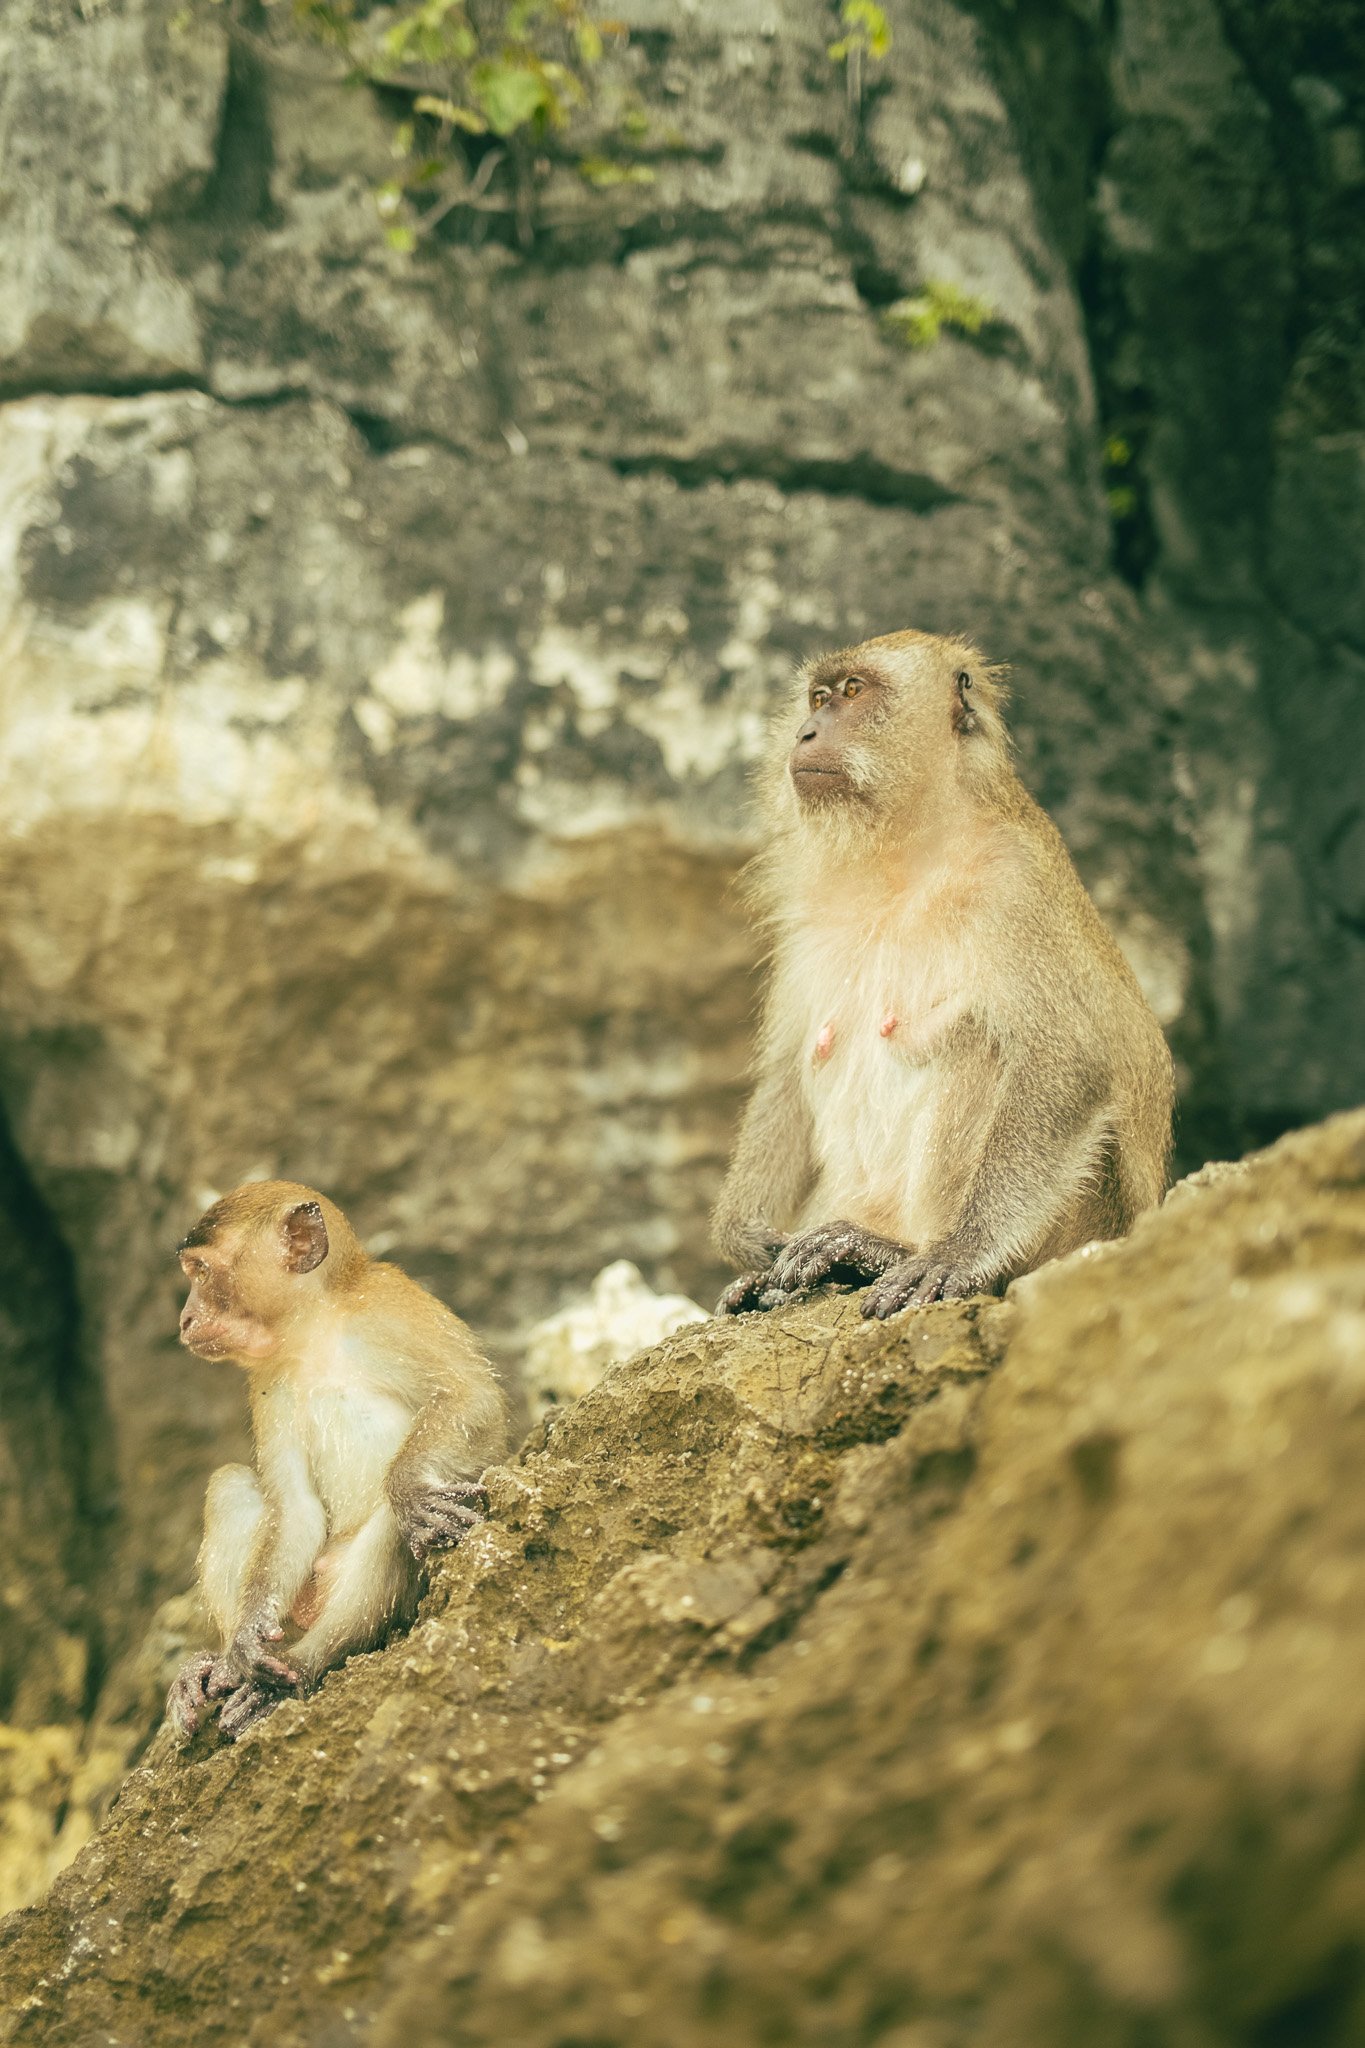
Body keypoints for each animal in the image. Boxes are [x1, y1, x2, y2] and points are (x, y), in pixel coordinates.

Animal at [165, 1181, 508, 1741]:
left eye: (201, 1271)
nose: (186, 1319)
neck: (314, 1329)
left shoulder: (392, 1308)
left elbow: (471, 1398)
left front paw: (410, 1488)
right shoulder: (268, 1382)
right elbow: (293, 1505)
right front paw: (244, 1640)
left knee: (392, 1526)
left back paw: (294, 1672)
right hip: (295, 1601)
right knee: (229, 1484)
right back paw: (226, 1665)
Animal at [712, 628, 1173, 1320]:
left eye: (853, 692)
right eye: (817, 697)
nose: (806, 732)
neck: (903, 857)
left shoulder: (1014, 884)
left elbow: (1069, 1062)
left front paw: (961, 1252)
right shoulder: (803, 912)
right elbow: (788, 1072)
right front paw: (743, 1237)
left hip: (1083, 1227)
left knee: (980, 1044)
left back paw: (883, 1252)